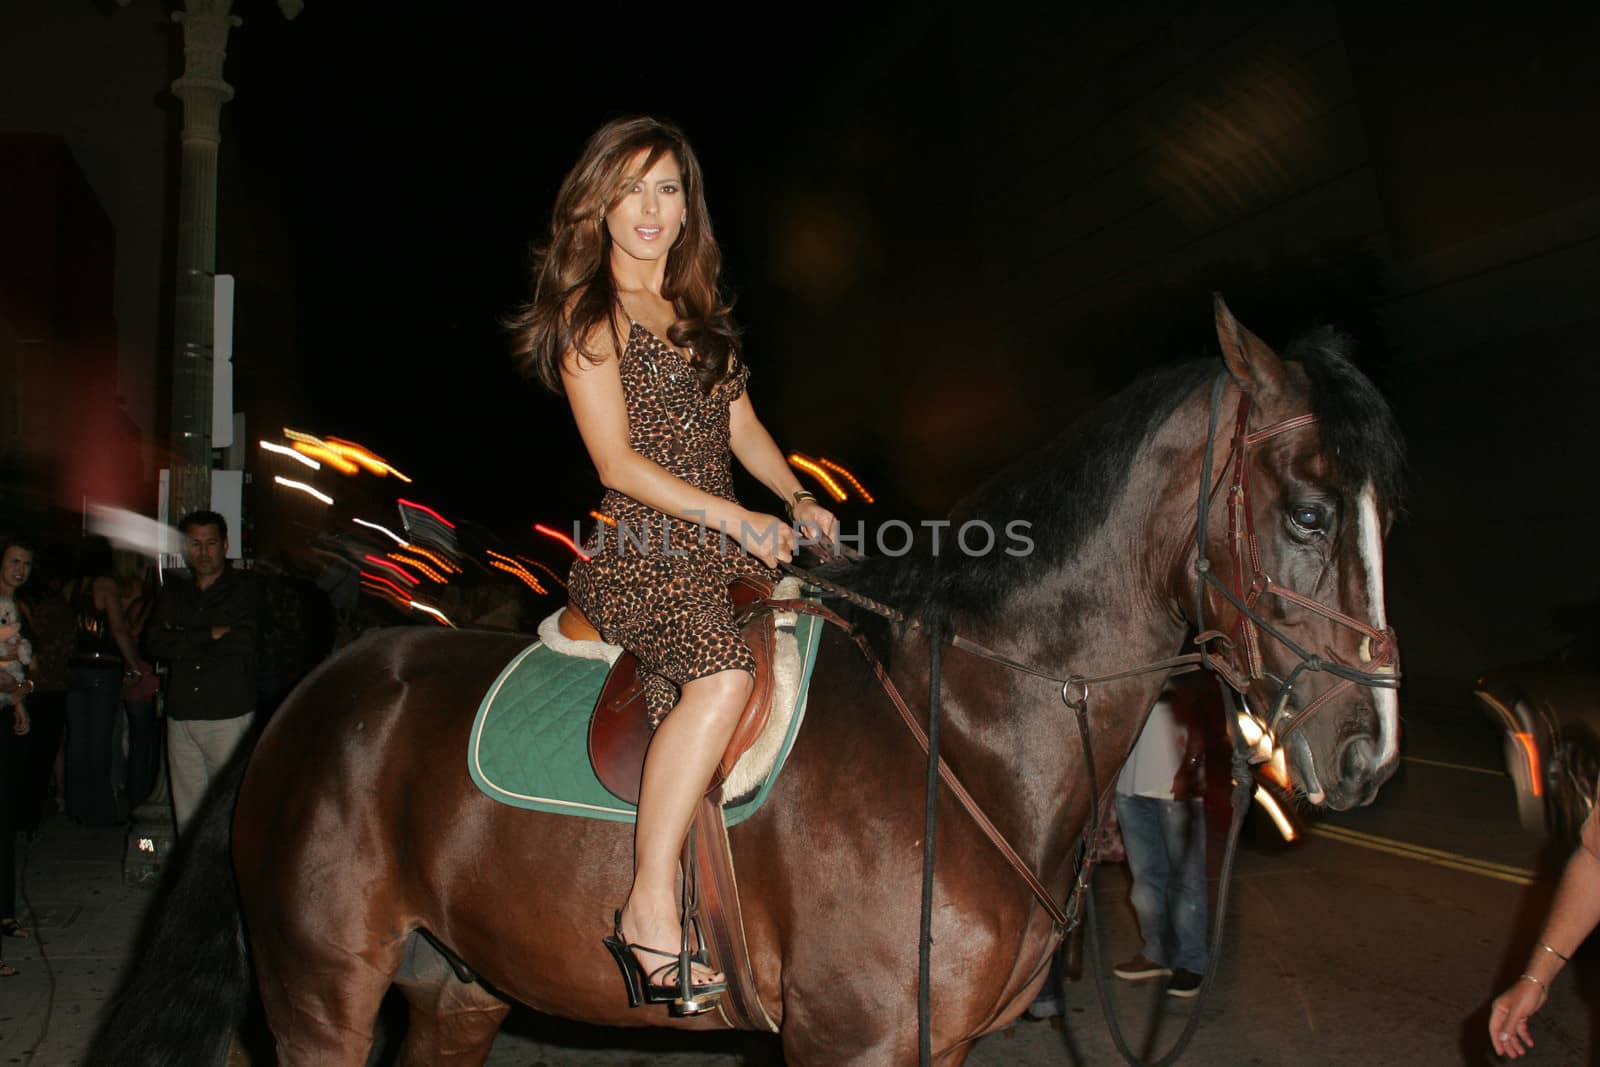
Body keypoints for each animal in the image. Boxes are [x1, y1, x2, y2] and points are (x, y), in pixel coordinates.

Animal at [100, 295, 1401, 1062]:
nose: (1364, 754)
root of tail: (313, 695)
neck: (966, 730)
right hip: (320, 991)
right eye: (1305, 511)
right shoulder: (849, 1039)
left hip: (456, 985)